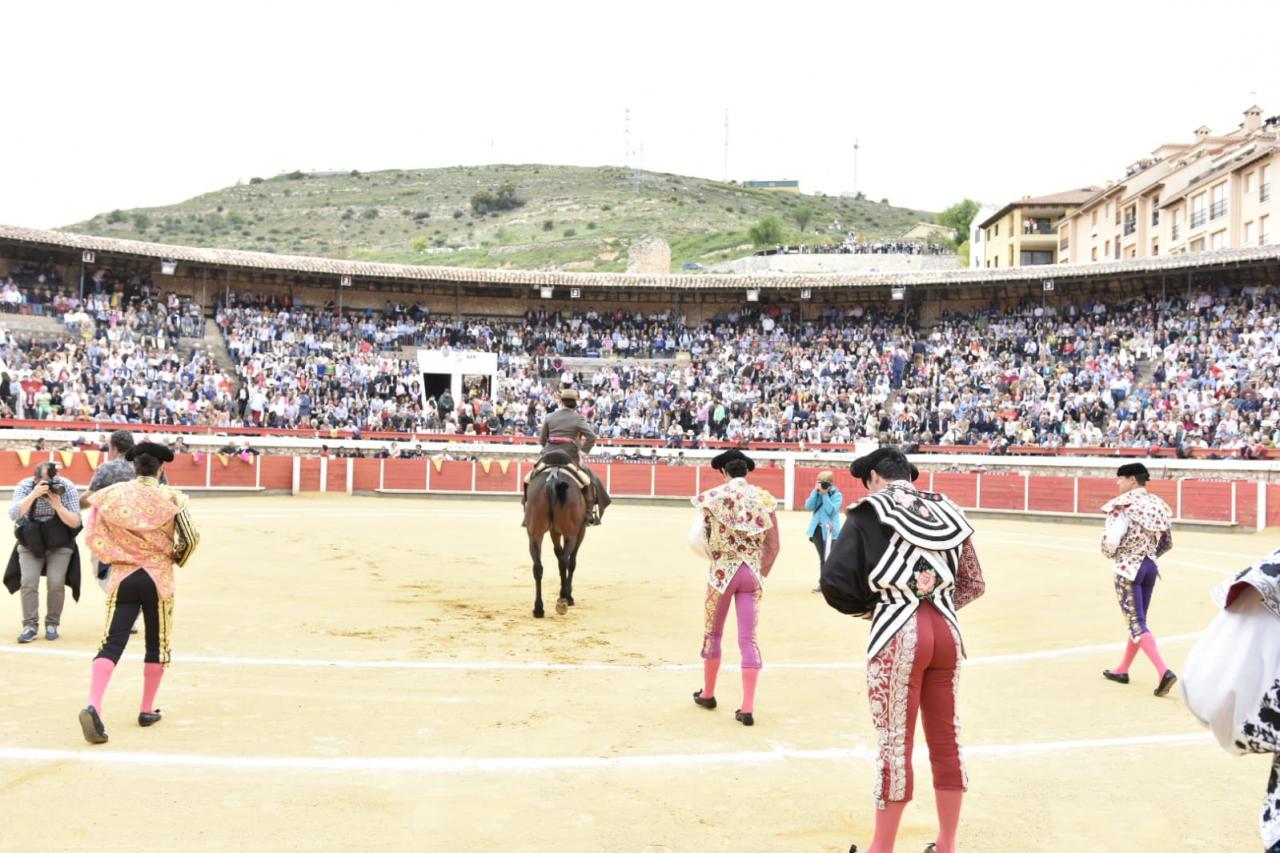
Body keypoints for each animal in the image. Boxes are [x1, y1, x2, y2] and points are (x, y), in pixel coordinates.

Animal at [519, 450, 588, 617]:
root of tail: (553, 479)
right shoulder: (580, 531)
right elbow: (571, 561)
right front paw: (569, 596)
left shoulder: (554, 531)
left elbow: (557, 553)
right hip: (571, 533)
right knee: (565, 561)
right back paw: (563, 599)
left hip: (535, 534)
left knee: (538, 567)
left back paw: (538, 608)